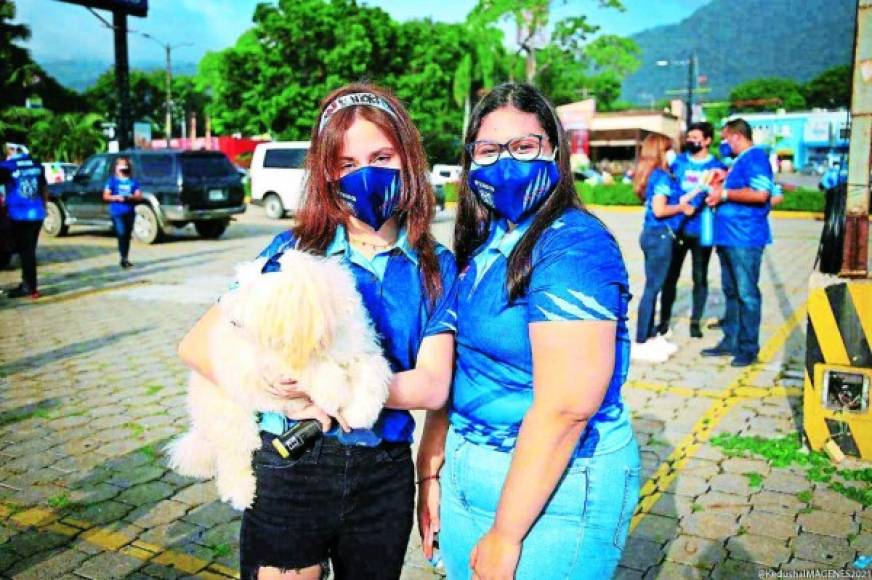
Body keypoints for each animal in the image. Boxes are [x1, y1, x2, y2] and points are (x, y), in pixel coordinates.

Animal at [167, 248, 392, 508]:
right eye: (237, 283)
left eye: (247, 290)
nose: (222, 302)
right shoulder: (270, 362)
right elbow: (313, 369)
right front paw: (334, 391)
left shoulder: (358, 347)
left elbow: (374, 370)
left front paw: (361, 411)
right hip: (231, 413)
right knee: (234, 455)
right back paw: (240, 493)